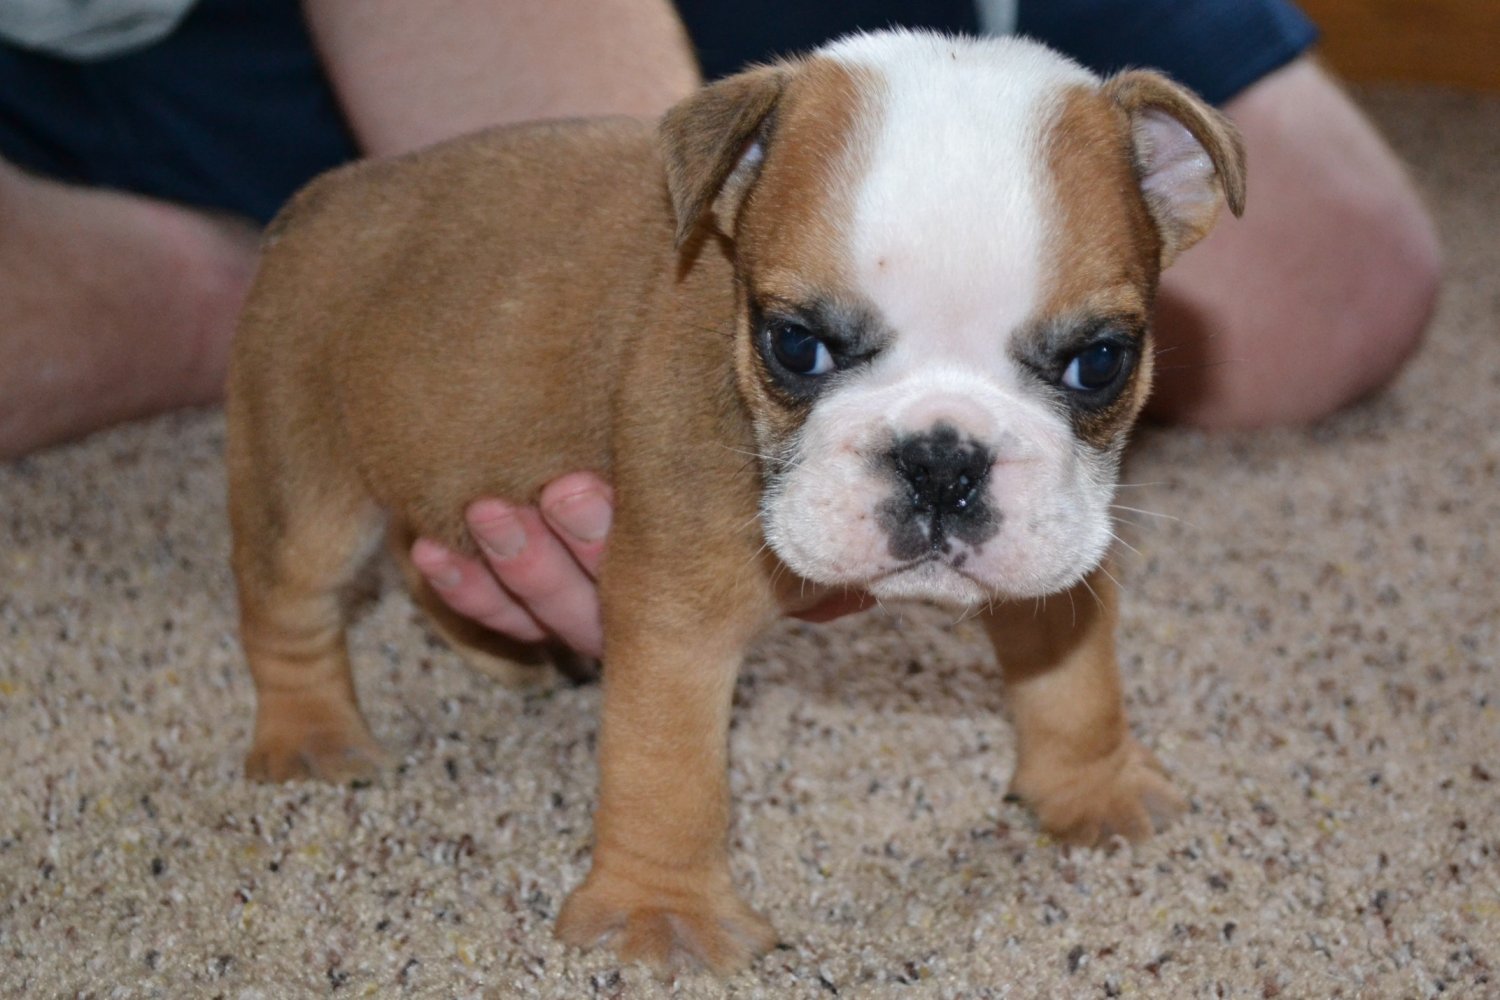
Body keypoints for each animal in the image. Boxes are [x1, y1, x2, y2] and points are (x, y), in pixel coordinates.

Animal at [228, 31, 1242, 977]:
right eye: (797, 345)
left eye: (1100, 361)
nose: (941, 459)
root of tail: (329, 195)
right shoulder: (675, 614)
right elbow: (666, 772)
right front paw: (661, 912)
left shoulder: (1064, 541)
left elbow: (1077, 682)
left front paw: (1094, 786)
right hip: (304, 479)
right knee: (289, 609)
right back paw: (312, 737)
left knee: (422, 555)